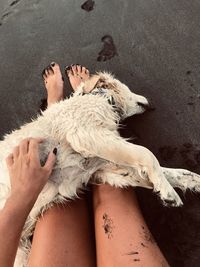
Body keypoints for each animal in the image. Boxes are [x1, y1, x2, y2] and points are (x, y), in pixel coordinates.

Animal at [0, 70, 200, 266]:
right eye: (127, 87)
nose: (148, 102)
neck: (100, 98)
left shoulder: (103, 168)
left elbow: (172, 172)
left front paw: (190, 182)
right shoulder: (87, 134)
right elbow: (147, 154)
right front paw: (168, 193)